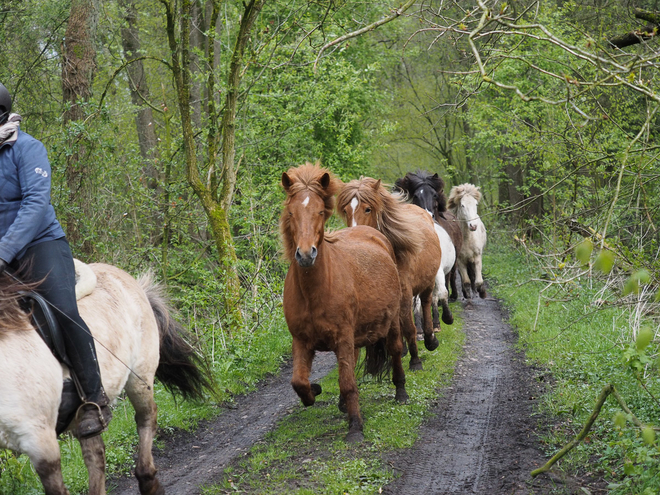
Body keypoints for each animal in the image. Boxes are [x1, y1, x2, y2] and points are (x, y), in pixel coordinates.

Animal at [0, 262, 211, 494]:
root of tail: (128, 278)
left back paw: (149, 481)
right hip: (81, 414)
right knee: (95, 453)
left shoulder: (40, 440)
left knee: (146, 417)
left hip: (139, 378)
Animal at [280, 164, 408, 446]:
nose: (305, 254)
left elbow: (348, 383)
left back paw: (401, 392)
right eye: (291, 212)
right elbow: (298, 382)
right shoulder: (301, 341)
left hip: (392, 321)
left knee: (395, 349)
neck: (314, 291)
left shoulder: (343, 337)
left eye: (320, 211)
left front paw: (355, 427)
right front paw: (315, 390)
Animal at [338, 178, 440, 372]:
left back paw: (430, 339)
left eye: (368, 209)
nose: (354, 234)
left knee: (426, 303)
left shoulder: (405, 292)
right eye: (346, 210)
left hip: (428, 282)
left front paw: (416, 361)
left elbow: (408, 326)